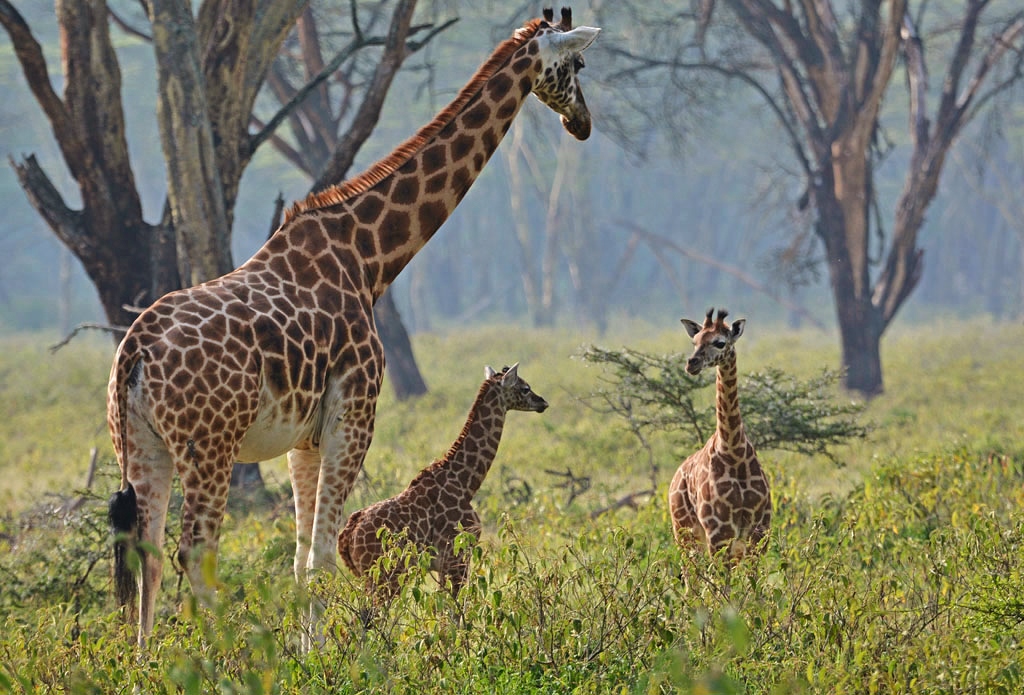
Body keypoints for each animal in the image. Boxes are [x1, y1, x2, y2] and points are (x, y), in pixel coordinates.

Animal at [337, 364, 548, 597]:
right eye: (525, 388)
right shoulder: (456, 556)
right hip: (386, 575)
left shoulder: (444, 563)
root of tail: (347, 535)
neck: (466, 482)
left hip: (366, 576)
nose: (543, 402)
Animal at [667, 309, 770, 560]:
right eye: (694, 342)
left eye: (720, 342)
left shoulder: (758, 532)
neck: (734, 451)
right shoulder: (719, 532)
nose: (691, 364)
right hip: (685, 532)